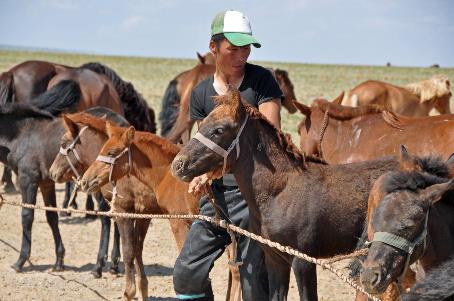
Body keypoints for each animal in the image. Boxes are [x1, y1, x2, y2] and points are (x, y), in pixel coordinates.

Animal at [170, 88, 408, 300]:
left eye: (219, 130)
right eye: (202, 123)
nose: (178, 165)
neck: (280, 191)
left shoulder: (303, 261)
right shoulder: (275, 259)